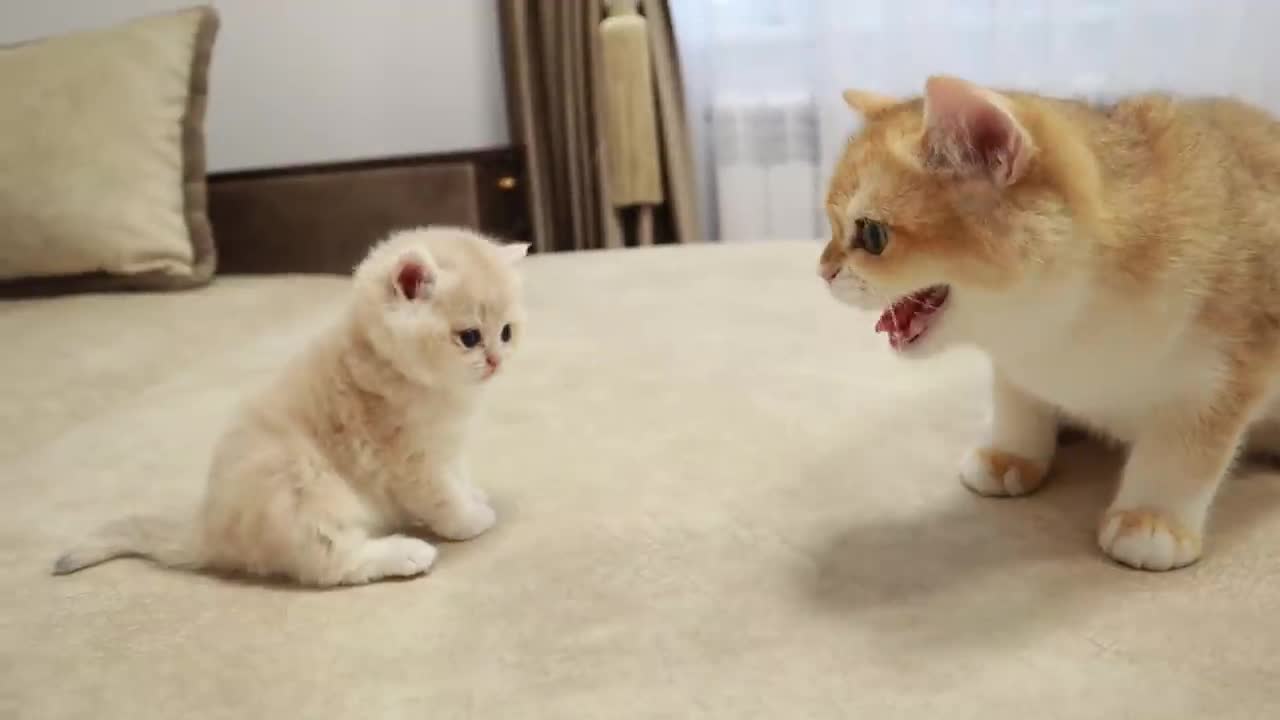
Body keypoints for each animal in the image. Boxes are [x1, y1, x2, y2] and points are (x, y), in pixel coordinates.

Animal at [52, 226, 527, 586]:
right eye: (469, 337)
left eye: (506, 333)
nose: (496, 360)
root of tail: (208, 528)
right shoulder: (411, 460)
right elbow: (442, 497)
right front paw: (470, 520)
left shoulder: (447, 446)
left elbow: (458, 477)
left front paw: (473, 495)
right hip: (304, 486)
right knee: (332, 564)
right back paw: (406, 553)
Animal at [814, 75, 1280, 568]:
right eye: (831, 224)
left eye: (872, 235)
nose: (822, 270)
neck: (1066, 325)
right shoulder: (1017, 362)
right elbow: (1018, 403)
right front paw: (1010, 455)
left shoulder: (1225, 375)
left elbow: (1183, 454)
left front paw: (1152, 520)